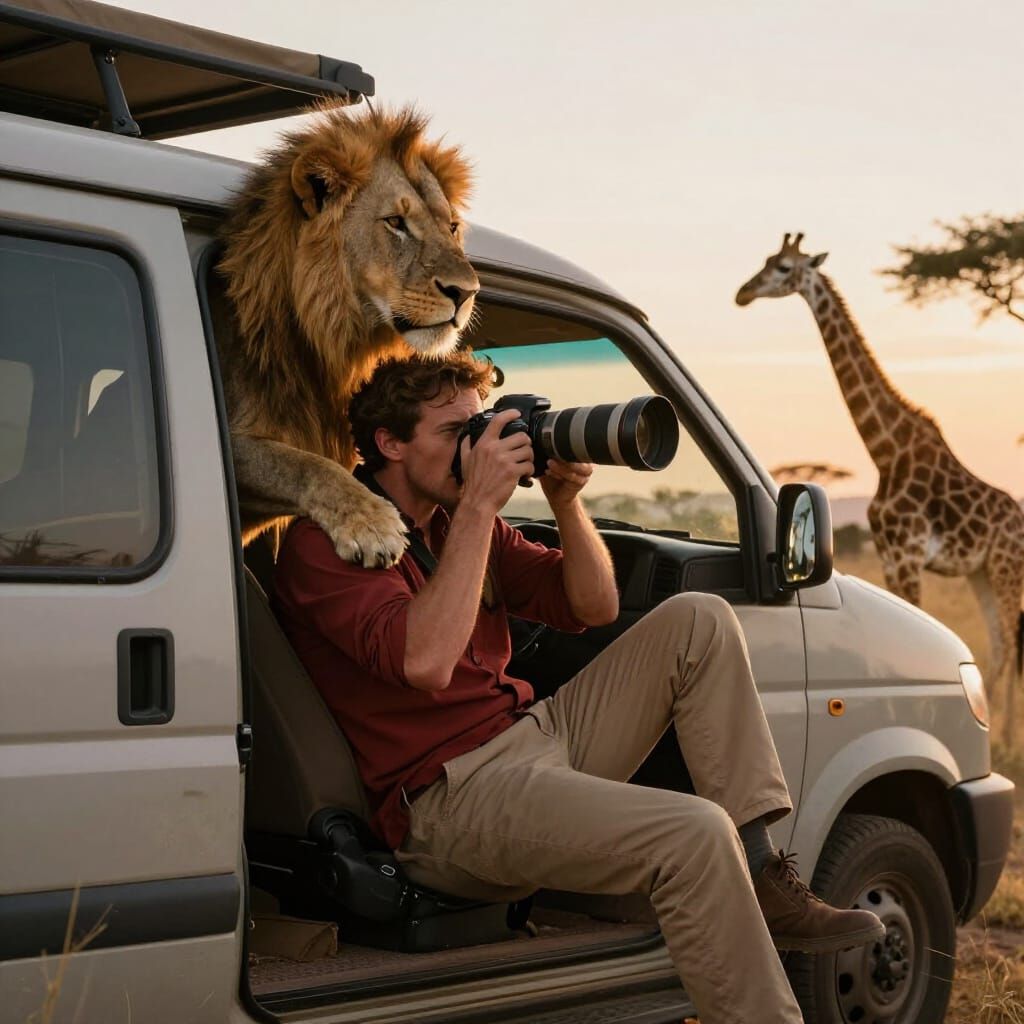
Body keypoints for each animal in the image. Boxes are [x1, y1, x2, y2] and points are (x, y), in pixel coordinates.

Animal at [213, 104, 478, 567]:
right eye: (395, 222)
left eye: (451, 227)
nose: (466, 293)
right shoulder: (228, 444)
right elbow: (306, 465)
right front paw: (373, 526)